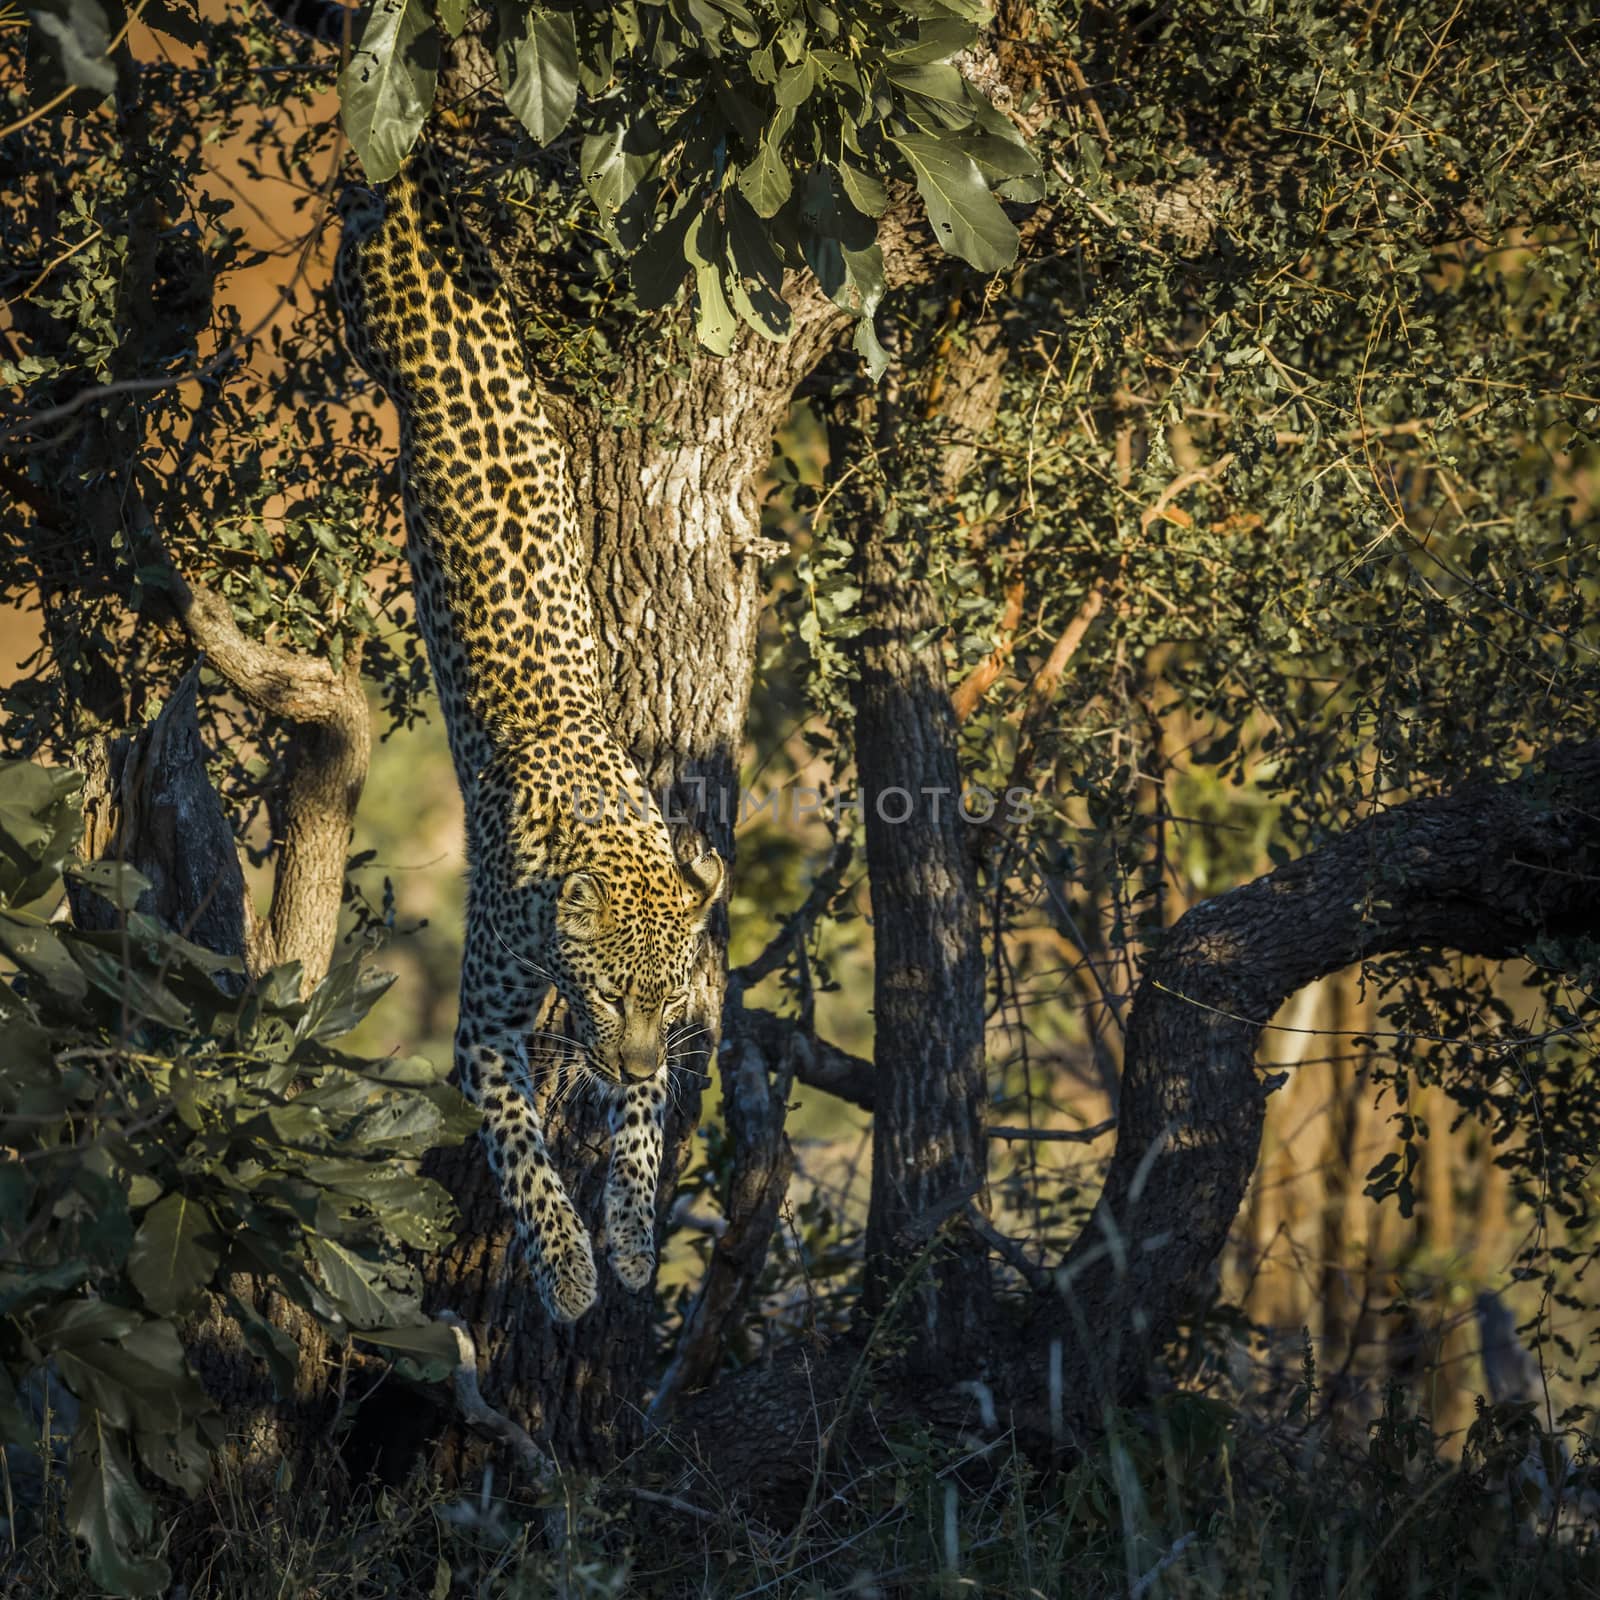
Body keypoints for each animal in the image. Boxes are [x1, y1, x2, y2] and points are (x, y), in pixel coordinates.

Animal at [337, 147, 726, 1324]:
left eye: (664, 995)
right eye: (599, 993)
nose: (636, 1061)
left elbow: (640, 1140)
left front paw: (634, 1241)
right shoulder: (487, 1029)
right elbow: (519, 1150)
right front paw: (565, 1269)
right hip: (367, 314)